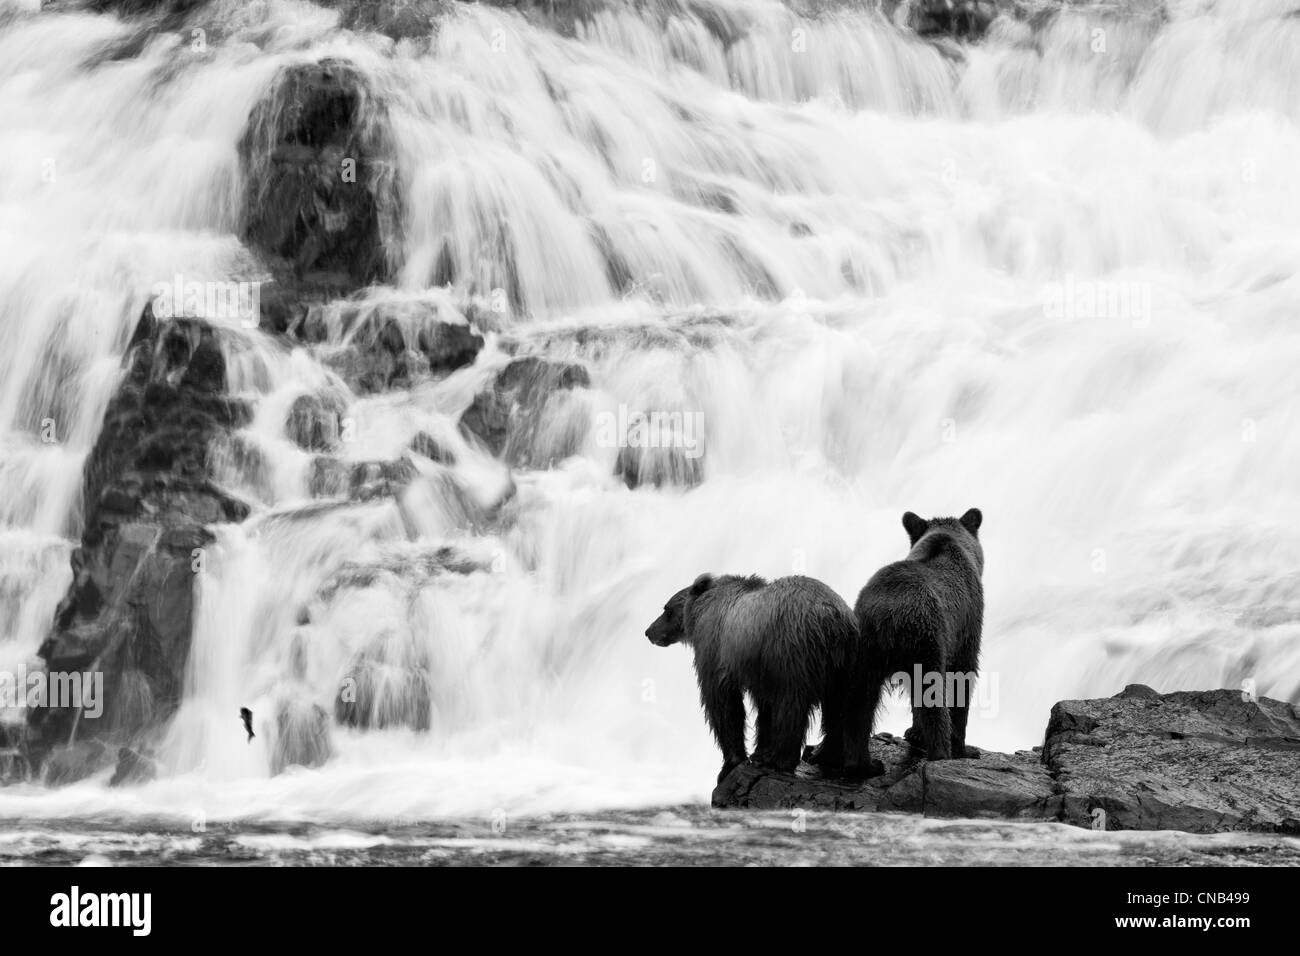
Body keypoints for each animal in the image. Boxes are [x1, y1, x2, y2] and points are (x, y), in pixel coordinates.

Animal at [644, 574, 857, 785]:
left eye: (666, 609)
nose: (648, 631)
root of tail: (831, 617)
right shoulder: (759, 667)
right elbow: (764, 708)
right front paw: (760, 752)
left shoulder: (717, 649)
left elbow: (723, 703)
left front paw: (731, 764)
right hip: (844, 663)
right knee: (839, 707)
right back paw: (825, 755)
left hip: (794, 651)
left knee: (791, 706)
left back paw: (780, 761)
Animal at [811, 512, 982, 775]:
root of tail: (887, 613)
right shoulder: (967, 622)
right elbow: (962, 677)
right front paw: (963, 748)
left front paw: (913, 733)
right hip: (927, 639)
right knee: (932, 697)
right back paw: (941, 754)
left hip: (860, 652)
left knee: (855, 703)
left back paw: (850, 760)